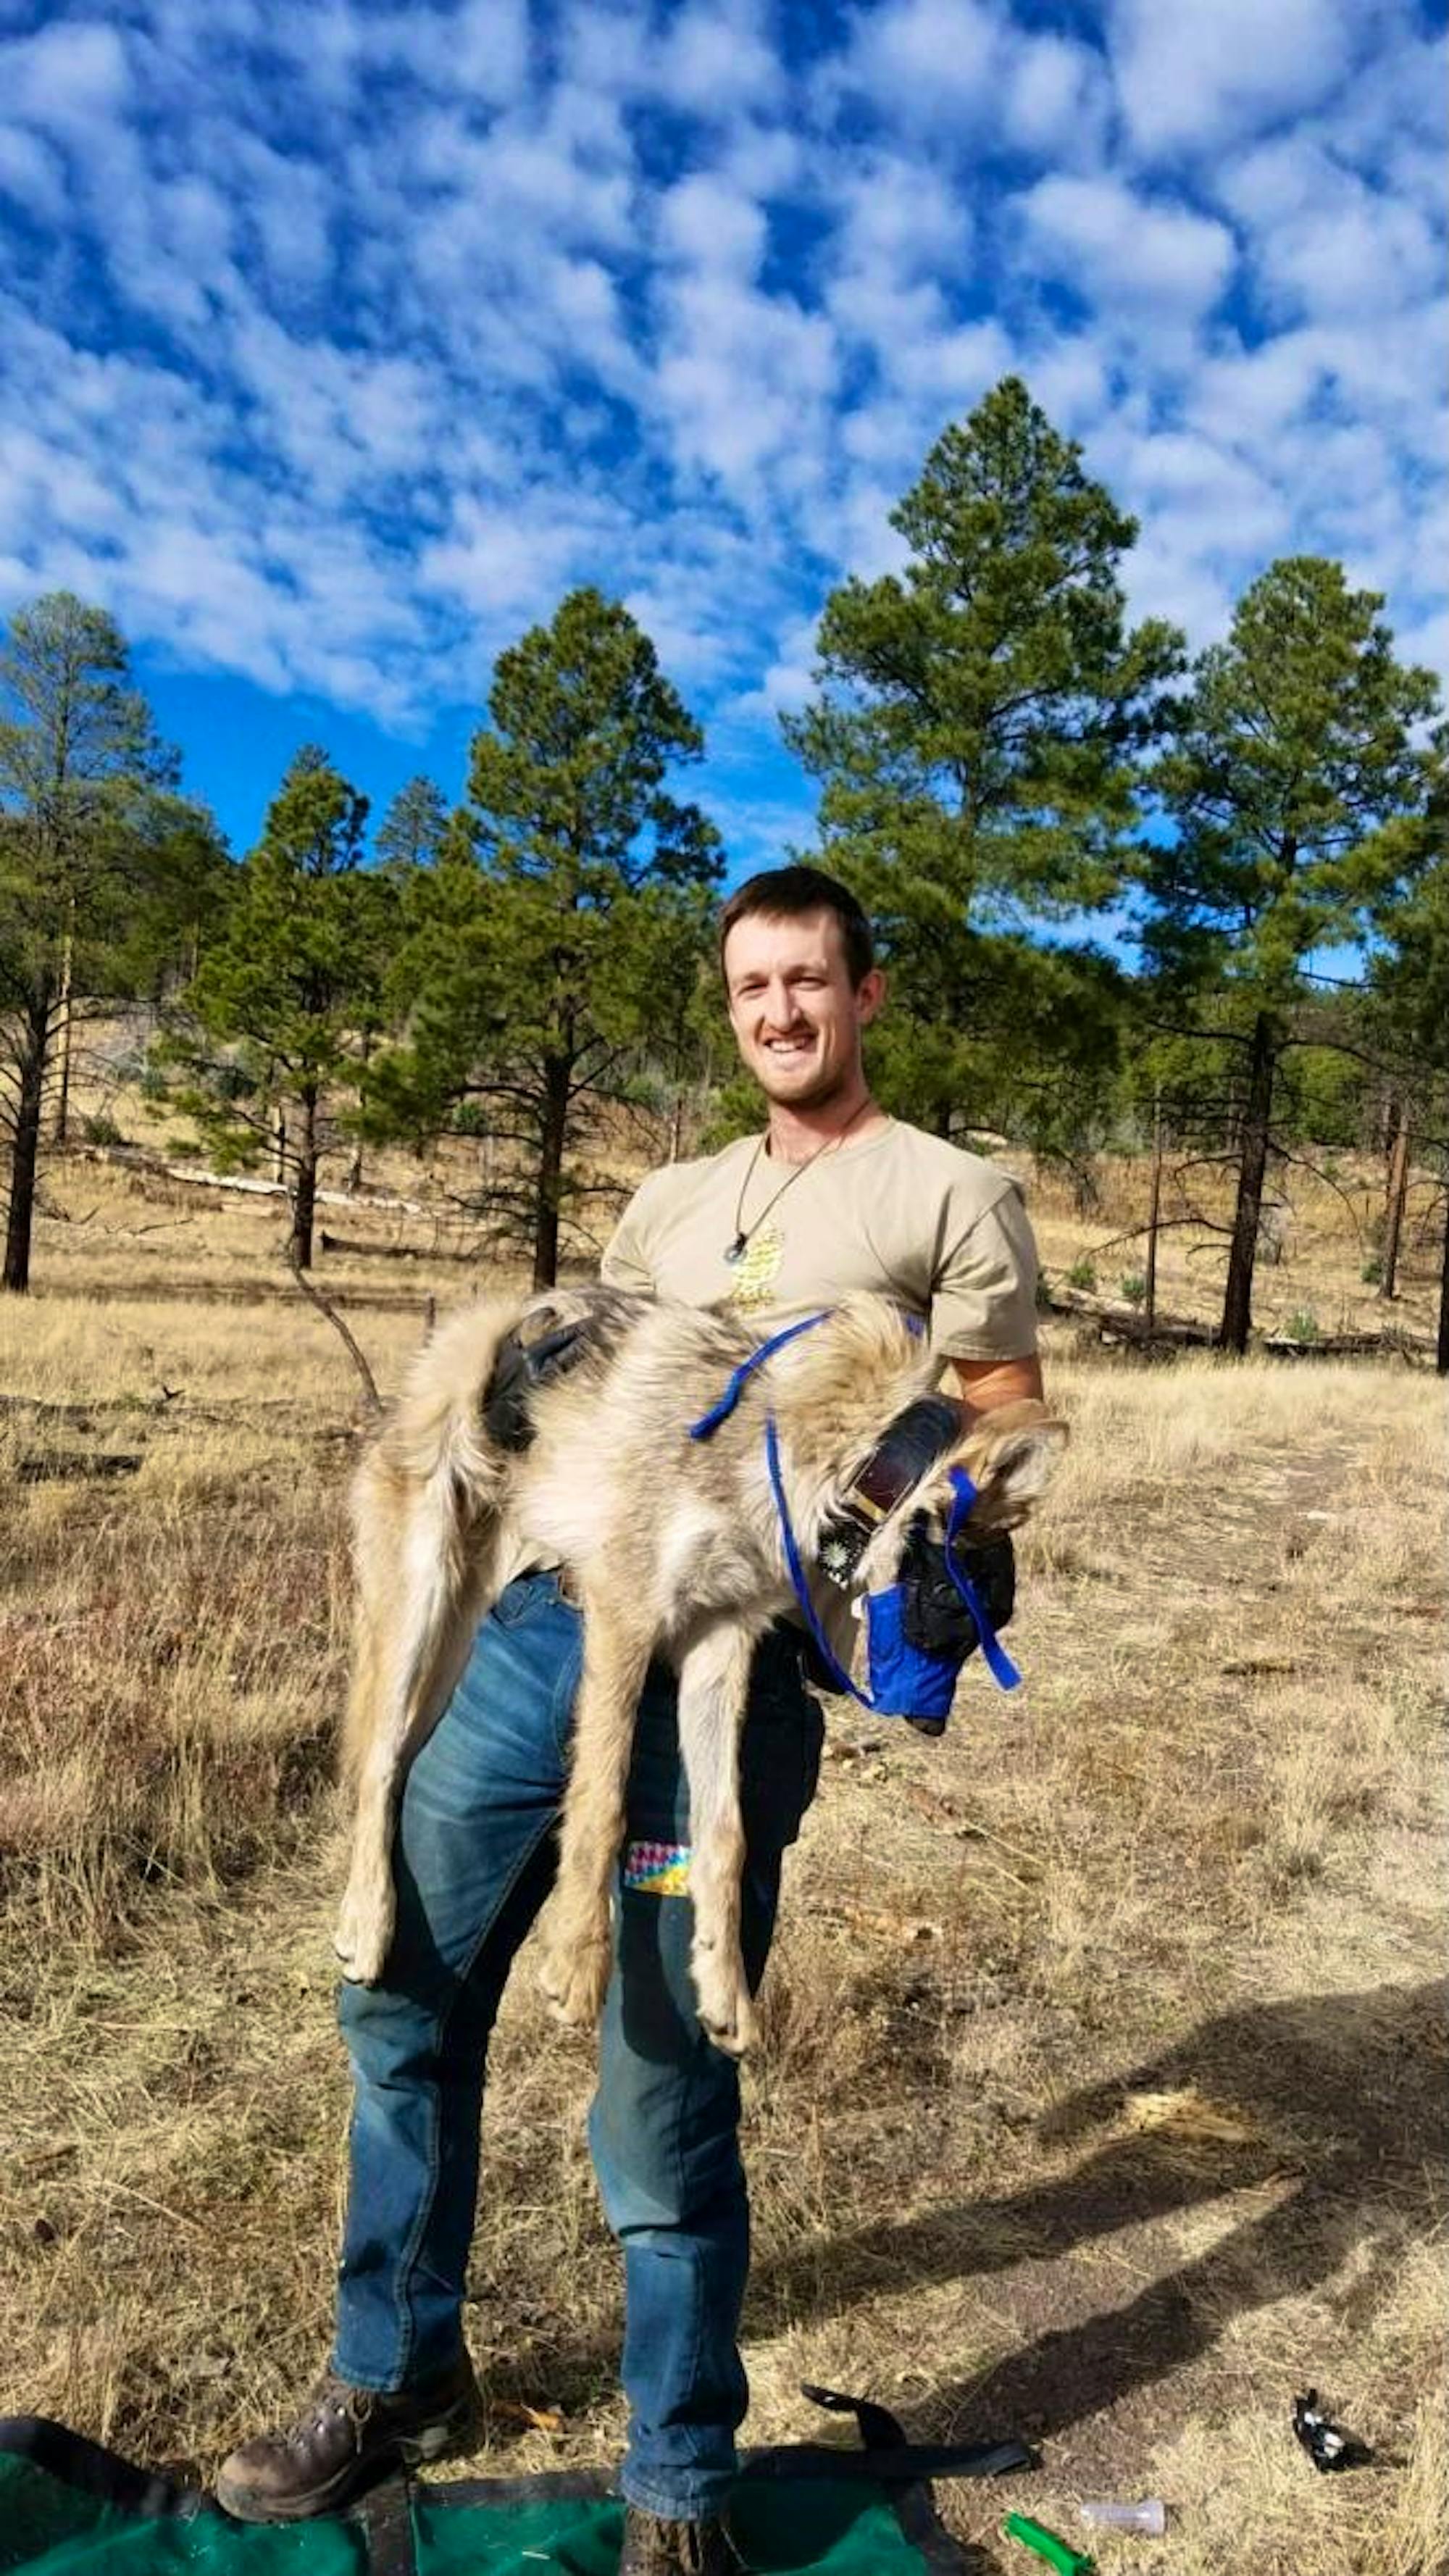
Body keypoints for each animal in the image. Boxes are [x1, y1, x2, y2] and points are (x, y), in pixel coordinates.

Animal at [337, 1298, 1065, 2061]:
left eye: (991, 1622)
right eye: (960, 1608)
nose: (932, 1726)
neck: (830, 1457)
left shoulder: (718, 1645)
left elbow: (724, 1836)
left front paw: (725, 1992)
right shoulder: (623, 1614)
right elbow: (602, 1803)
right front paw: (578, 1962)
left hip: (452, 1649)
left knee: (398, 1763)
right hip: (418, 1610)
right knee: (377, 1764)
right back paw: (367, 1924)